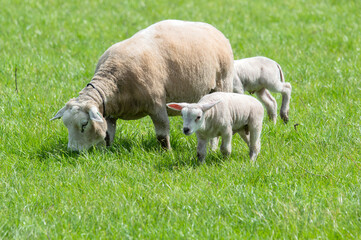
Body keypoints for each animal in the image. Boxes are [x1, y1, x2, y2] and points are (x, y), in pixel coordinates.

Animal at [50, 19, 233, 151]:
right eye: (66, 125)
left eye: (84, 124)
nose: (73, 151)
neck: (114, 80)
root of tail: (212, 28)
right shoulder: (109, 113)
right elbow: (108, 134)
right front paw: (107, 152)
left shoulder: (157, 105)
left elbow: (162, 134)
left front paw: (167, 153)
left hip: (223, 84)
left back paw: (213, 148)